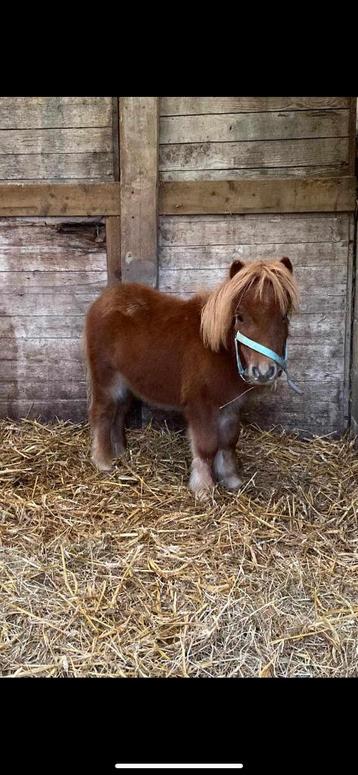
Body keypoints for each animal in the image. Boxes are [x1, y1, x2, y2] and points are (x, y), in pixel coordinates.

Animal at [84, 258, 300, 500]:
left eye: (284, 316)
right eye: (240, 317)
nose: (263, 371)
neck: (217, 349)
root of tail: (104, 300)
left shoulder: (230, 407)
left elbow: (228, 441)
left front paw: (230, 479)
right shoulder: (201, 406)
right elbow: (206, 446)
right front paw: (203, 488)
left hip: (126, 383)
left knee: (118, 412)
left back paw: (120, 451)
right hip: (107, 380)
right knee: (102, 413)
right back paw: (103, 461)